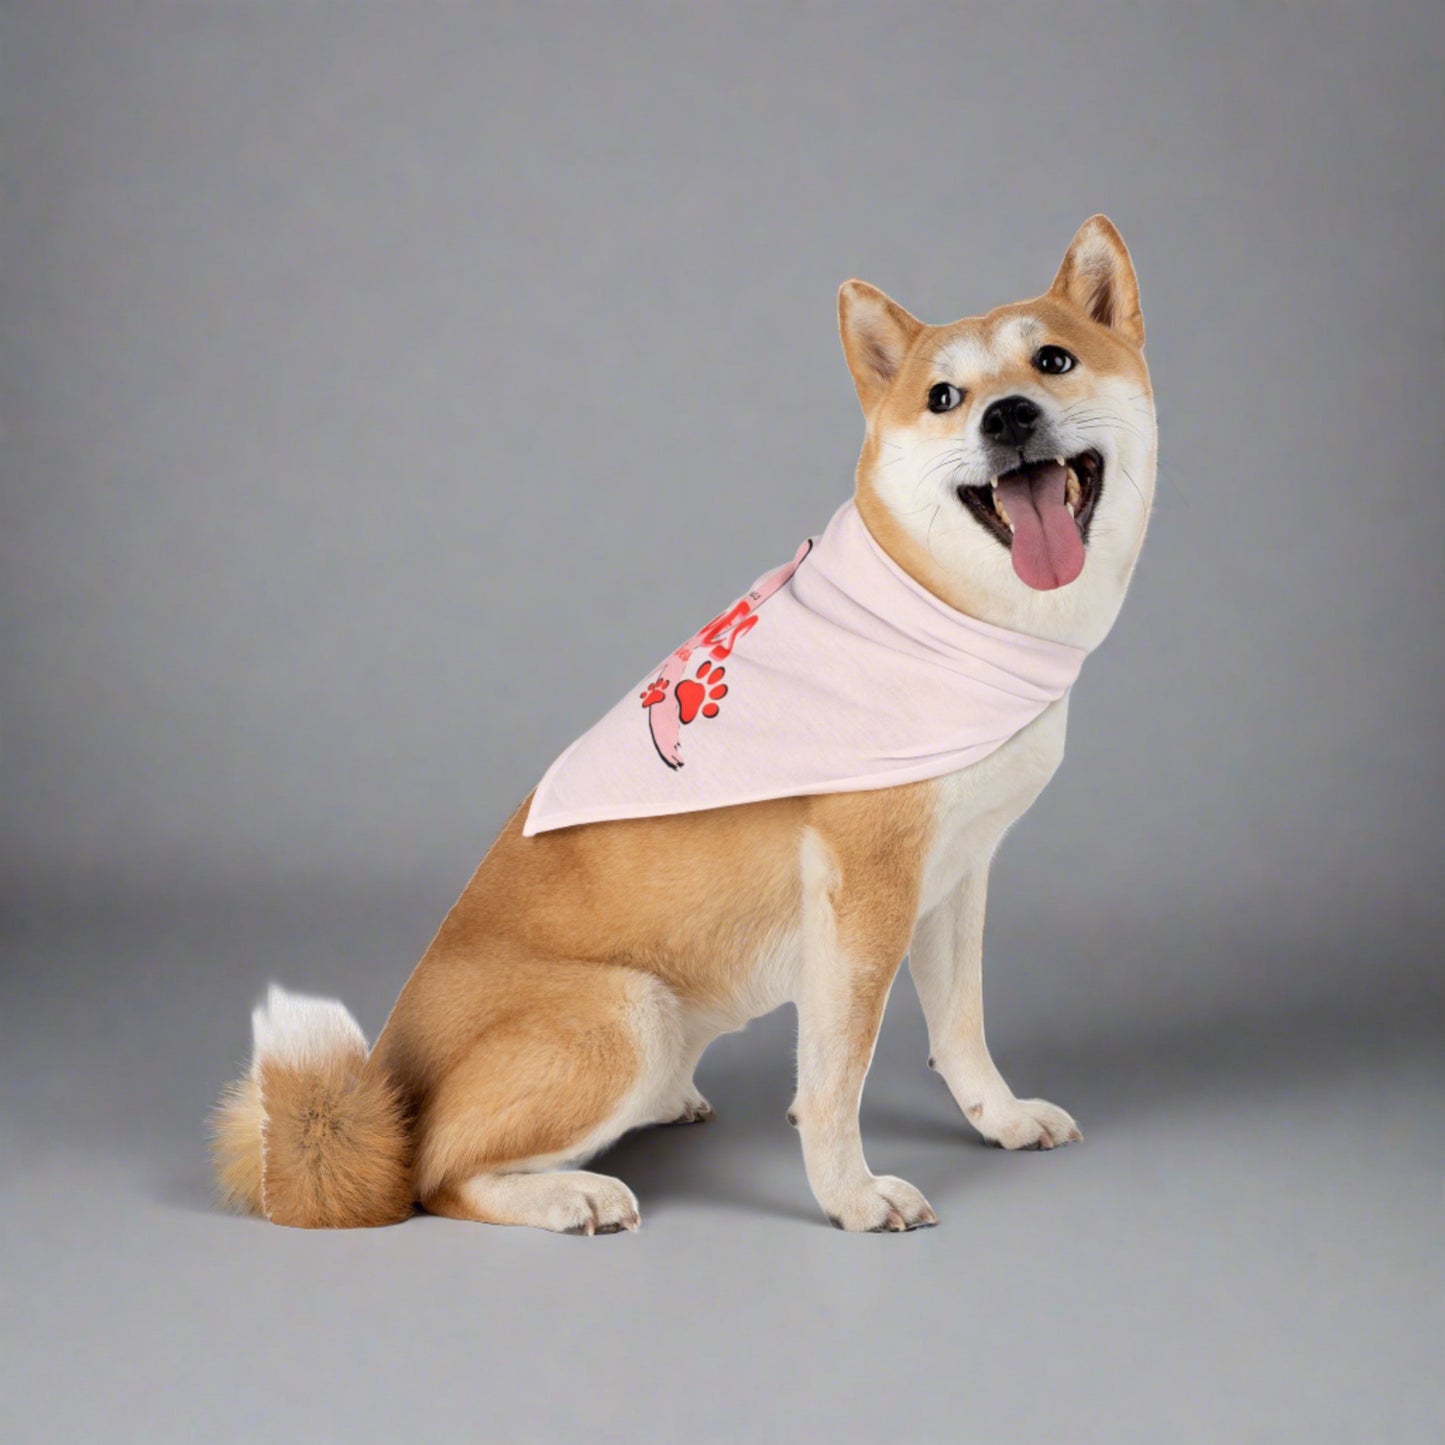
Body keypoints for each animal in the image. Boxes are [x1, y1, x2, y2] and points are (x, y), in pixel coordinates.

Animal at [213, 213, 1156, 1231]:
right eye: (943, 396)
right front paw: (852, 1194)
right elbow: (837, 1073)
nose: (1006, 416)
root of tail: (383, 1078)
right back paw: (569, 1193)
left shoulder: (954, 873)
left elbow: (960, 1025)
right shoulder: (864, 893)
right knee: (436, 1175)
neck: (953, 620)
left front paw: (1000, 1117)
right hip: (627, 1012)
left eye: (1053, 359)